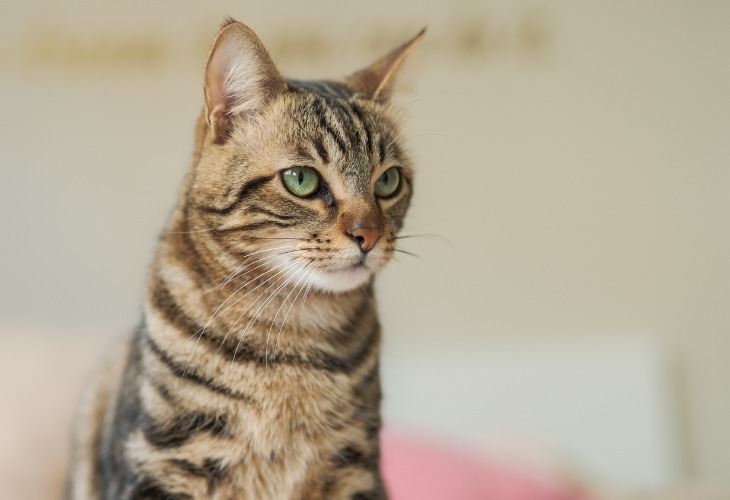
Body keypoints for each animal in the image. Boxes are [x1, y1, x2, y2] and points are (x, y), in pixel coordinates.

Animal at [66, 19, 424, 500]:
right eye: (301, 179)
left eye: (388, 182)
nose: (369, 234)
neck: (294, 338)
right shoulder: (163, 463)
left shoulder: (355, 469)